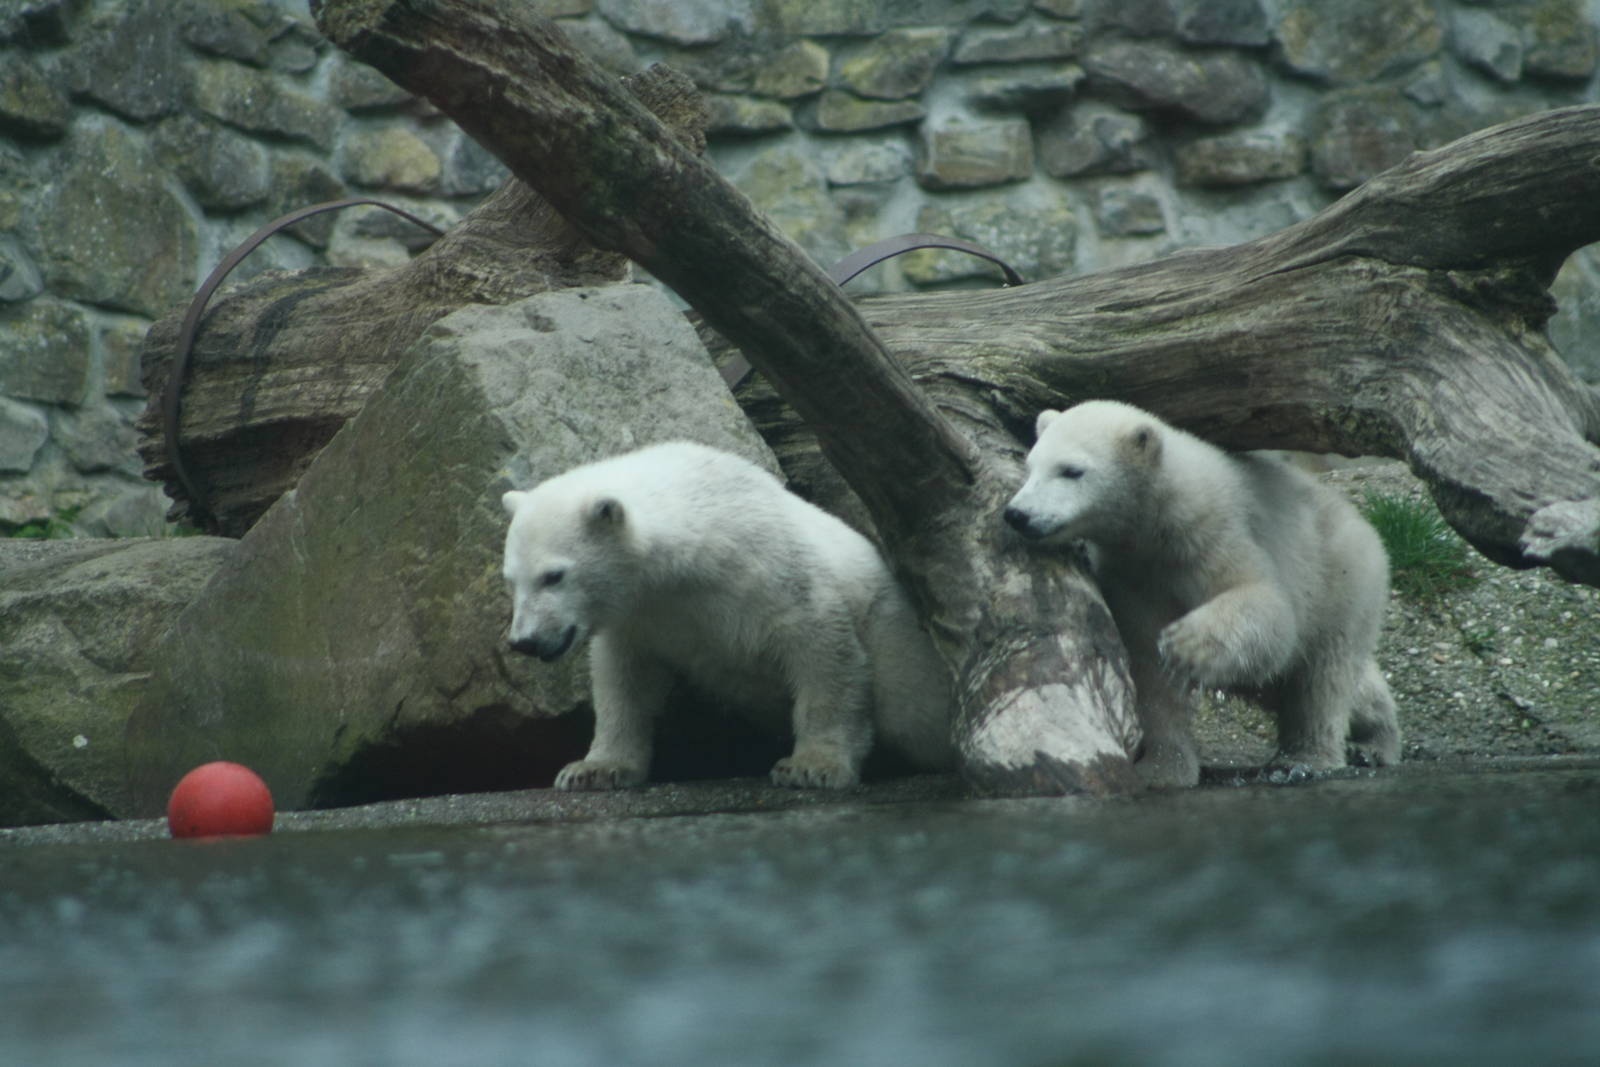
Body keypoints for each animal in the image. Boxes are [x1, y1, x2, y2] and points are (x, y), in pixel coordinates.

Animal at [501, 440, 956, 790]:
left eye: (553, 576)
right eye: (511, 579)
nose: (524, 640)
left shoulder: (769, 570)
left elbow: (824, 651)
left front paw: (812, 767)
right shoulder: (641, 617)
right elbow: (624, 679)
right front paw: (593, 769)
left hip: (900, 645)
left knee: (911, 712)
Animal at [1002, 400, 1399, 788]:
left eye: (1071, 470)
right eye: (1031, 466)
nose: (1018, 514)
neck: (1162, 516)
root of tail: (1364, 527)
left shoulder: (1216, 534)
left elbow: (1265, 607)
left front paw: (1188, 644)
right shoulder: (1132, 573)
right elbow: (1149, 668)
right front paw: (1163, 768)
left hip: (1344, 581)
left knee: (1325, 678)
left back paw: (1328, 754)